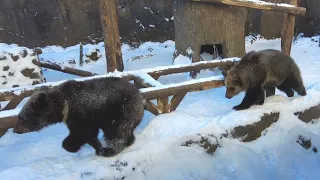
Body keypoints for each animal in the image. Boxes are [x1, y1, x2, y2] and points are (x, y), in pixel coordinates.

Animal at [12, 77, 145, 158]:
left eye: (21, 117)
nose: (15, 130)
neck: (64, 106)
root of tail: (140, 94)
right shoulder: (75, 118)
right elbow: (89, 136)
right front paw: (98, 148)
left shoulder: (82, 114)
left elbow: (82, 133)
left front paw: (70, 146)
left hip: (121, 110)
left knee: (117, 130)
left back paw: (111, 150)